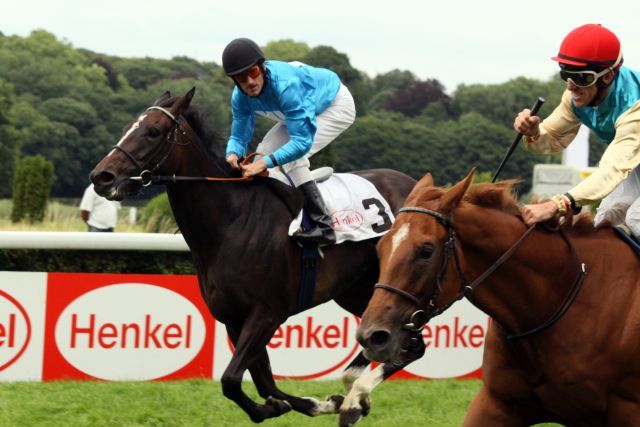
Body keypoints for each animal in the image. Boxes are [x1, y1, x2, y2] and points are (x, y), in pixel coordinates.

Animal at [90, 88, 420, 426]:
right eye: (127, 127)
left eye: (153, 131)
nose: (101, 176)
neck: (232, 221)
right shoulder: (234, 318)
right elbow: (263, 382)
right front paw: (305, 404)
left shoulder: (267, 313)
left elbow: (231, 379)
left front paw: (293, 406)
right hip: (359, 291)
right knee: (393, 341)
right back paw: (355, 394)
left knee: (410, 345)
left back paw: (356, 394)